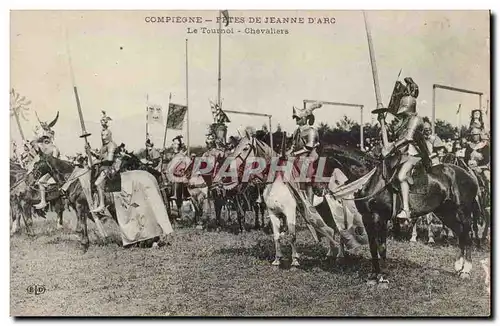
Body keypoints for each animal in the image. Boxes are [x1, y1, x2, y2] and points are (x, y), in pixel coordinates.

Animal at [332, 146, 480, 284]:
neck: (371, 180)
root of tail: (470, 175)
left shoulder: (380, 218)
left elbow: (382, 247)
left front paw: (382, 277)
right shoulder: (367, 218)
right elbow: (373, 247)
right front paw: (373, 276)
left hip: (463, 212)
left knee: (467, 237)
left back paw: (466, 270)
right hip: (446, 213)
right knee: (461, 235)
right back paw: (458, 267)